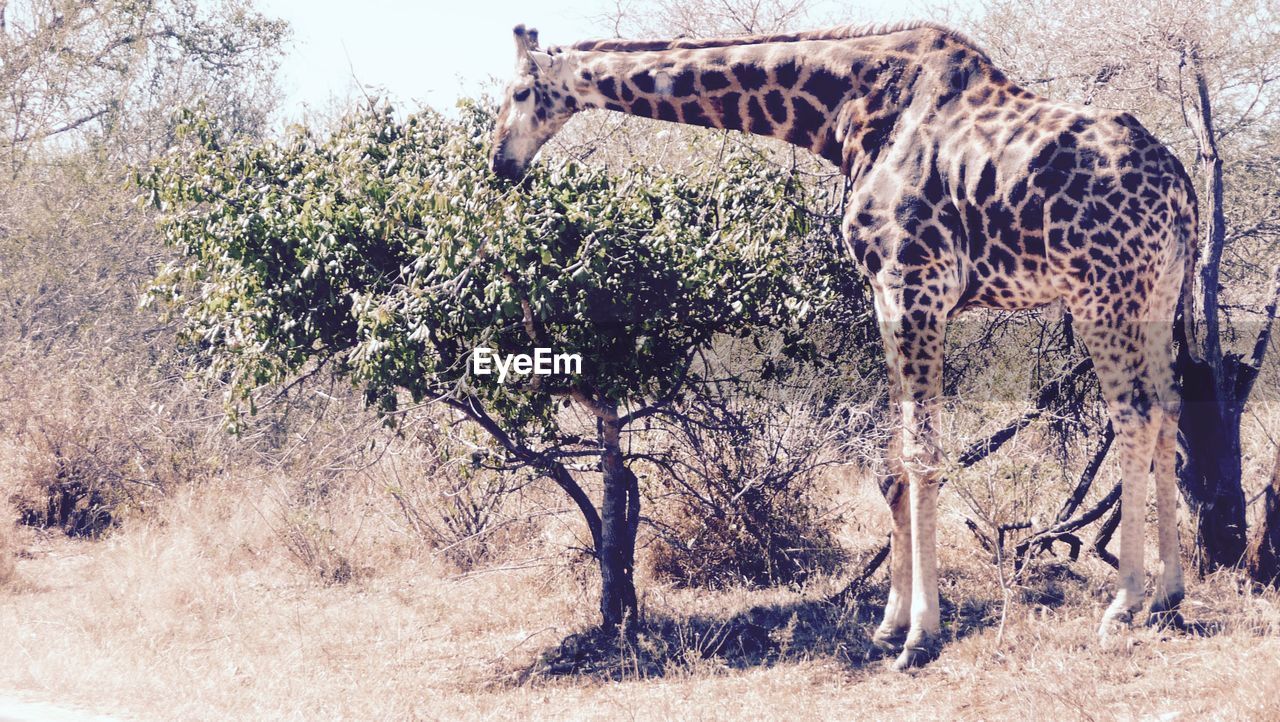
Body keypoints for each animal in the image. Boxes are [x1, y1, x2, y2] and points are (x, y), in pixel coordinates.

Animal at [483, 21, 1192, 670]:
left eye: (519, 92)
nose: (499, 164)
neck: (846, 112)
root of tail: (1181, 189)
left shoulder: (915, 282)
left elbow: (922, 455)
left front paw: (921, 636)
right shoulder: (884, 293)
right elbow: (891, 463)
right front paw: (888, 625)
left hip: (1103, 291)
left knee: (1135, 414)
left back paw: (1124, 604)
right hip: (1158, 295)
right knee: (1169, 410)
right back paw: (1169, 597)